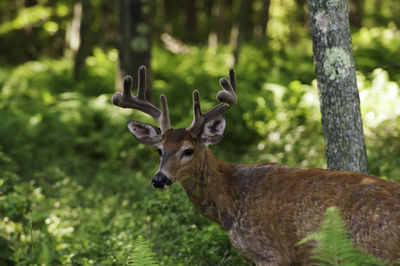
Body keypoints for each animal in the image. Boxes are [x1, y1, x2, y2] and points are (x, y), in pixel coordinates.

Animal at [111, 66, 400, 264]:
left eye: (189, 150)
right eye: (159, 149)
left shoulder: (269, 252)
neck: (228, 199)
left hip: (376, 252)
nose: (159, 179)